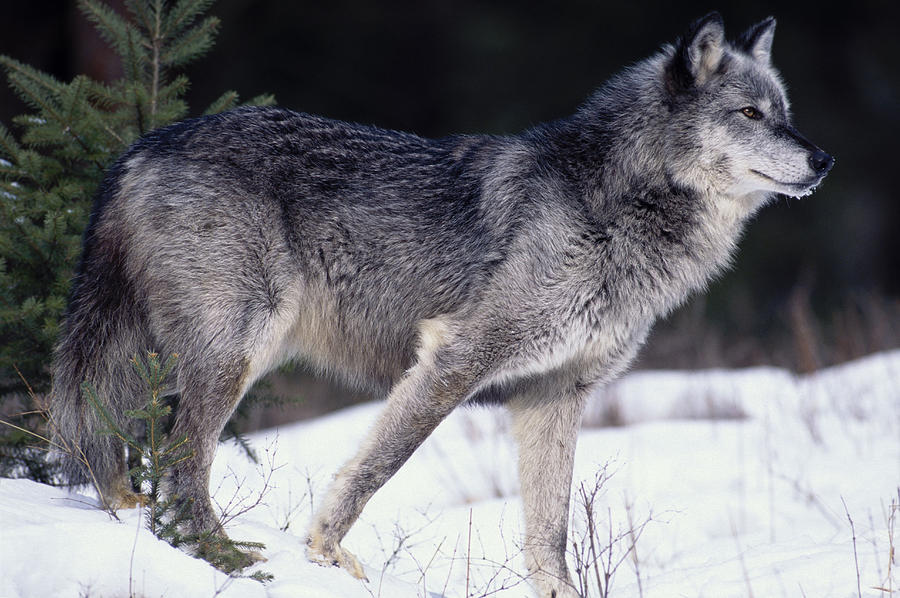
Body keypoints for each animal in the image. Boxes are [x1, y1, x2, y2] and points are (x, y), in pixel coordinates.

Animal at [51, 11, 828, 596]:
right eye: (750, 113)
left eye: (787, 113)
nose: (824, 159)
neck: (613, 206)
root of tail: (142, 146)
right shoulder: (456, 357)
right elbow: (374, 469)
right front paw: (325, 556)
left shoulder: (554, 395)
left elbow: (551, 533)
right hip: (236, 352)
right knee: (182, 462)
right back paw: (228, 561)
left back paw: (133, 515)